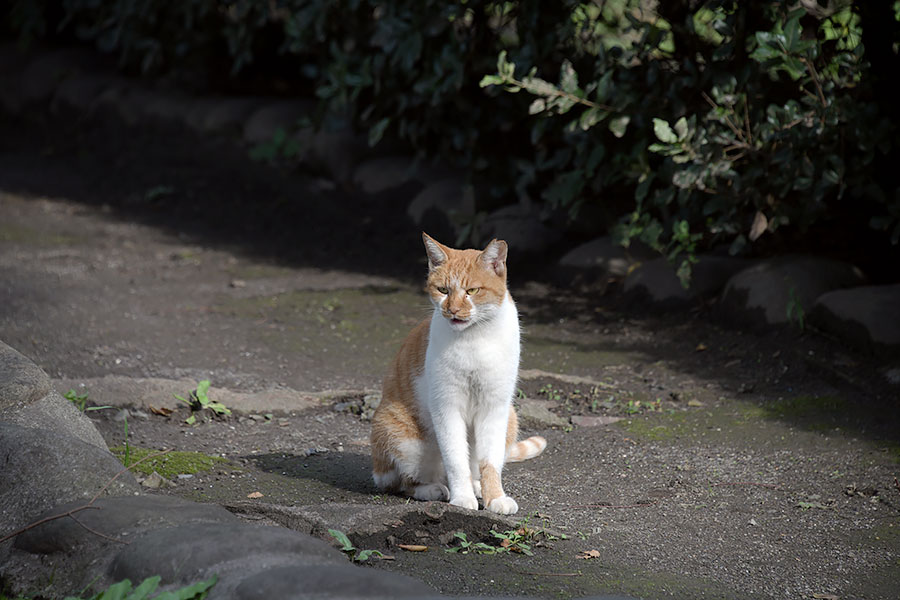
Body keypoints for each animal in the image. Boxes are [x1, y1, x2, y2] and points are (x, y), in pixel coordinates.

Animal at [370, 232, 544, 512]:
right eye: (443, 290)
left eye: (472, 291)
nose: (451, 309)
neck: (474, 338)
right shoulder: (447, 406)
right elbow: (455, 459)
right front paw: (462, 498)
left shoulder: (494, 407)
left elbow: (489, 462)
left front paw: (495, 497)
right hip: (401, 437)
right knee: (402, 482)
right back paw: (434, 489)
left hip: (511, 418)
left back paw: (476, 486)